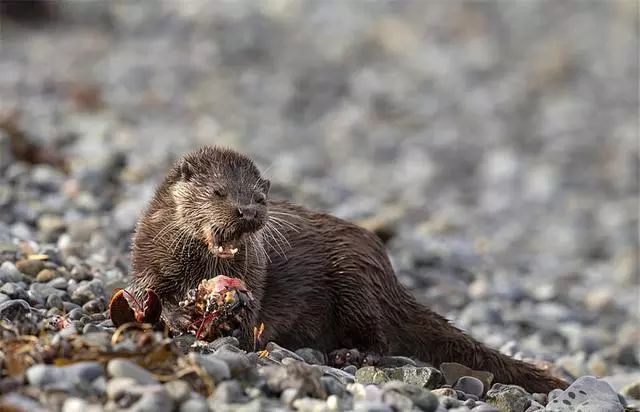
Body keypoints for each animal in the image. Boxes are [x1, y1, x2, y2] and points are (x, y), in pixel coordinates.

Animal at [127, 146, 568, 392]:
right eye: (219, 192)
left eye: (259, 198)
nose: (248, 211)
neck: (197, 268)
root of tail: (389, 273)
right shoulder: (146, 259)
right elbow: (144, 294)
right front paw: (178, 316)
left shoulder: (255, 275)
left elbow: (250, 321)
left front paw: (224, 321)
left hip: (355, 280)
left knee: (382, 338)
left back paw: (351, 354)